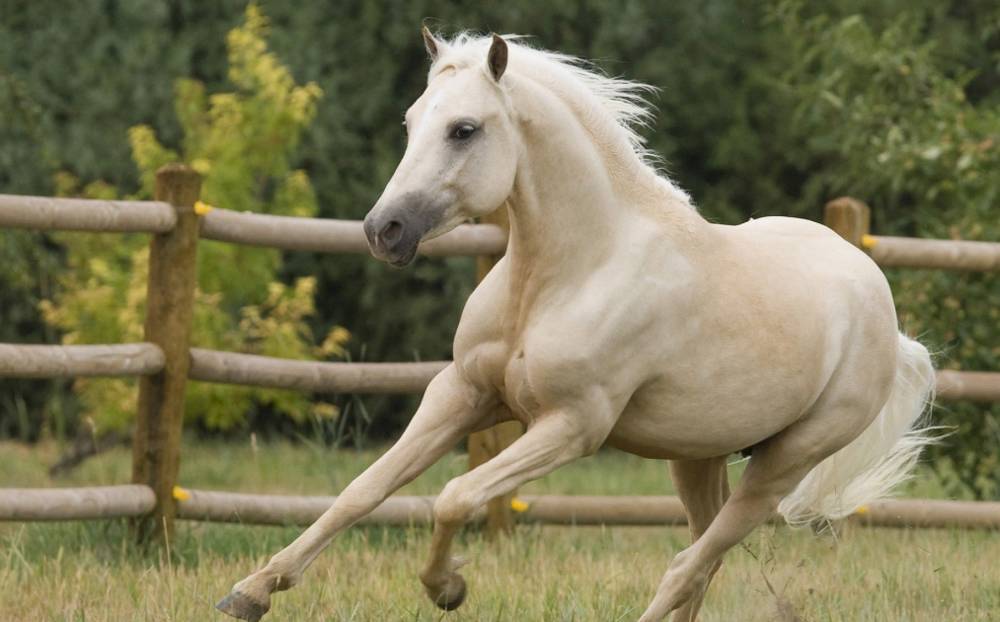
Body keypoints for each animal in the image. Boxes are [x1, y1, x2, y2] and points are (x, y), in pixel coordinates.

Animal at [215, 30, 932, 622]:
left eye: (464, 129)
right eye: (412, 121)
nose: (383, 231)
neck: (565, 275)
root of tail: (885, 315)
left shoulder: (572, 426)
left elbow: (454, 495)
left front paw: (447, 588)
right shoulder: (461, 393)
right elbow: (362, 490)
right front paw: (251, 592)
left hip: (783, 464)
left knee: (687, 566)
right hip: (696, 456)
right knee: (703, 561)